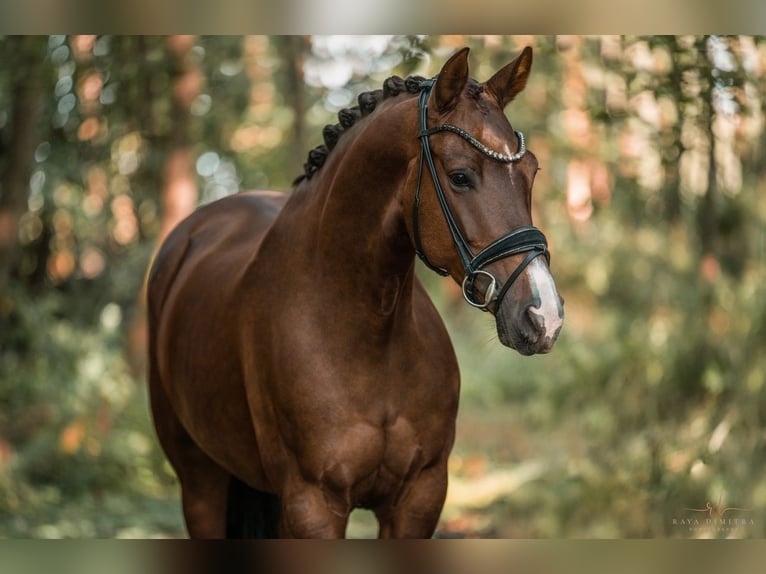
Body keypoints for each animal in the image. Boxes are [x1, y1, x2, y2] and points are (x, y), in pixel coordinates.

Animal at [147, 46, 564, 540]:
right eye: (461, 176)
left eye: (531, 171)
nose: (543, 315)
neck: (365, 337)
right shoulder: (313, 505)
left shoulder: (419, 498)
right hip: (201, 483)